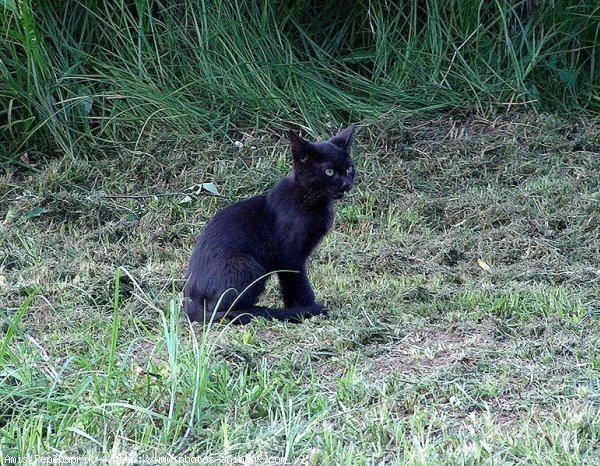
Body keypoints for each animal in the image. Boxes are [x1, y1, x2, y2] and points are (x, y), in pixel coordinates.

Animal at [185, 124, 356, 324]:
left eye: (349, 169)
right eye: (329, 172)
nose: (346, 184)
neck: (309, 200)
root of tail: (191, 302)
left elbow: (289, 286)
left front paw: (295, 309)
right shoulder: (290, 255)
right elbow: (300, 284)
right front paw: (306, 309)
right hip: (246, 264)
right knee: (220, 309)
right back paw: (257, 311)